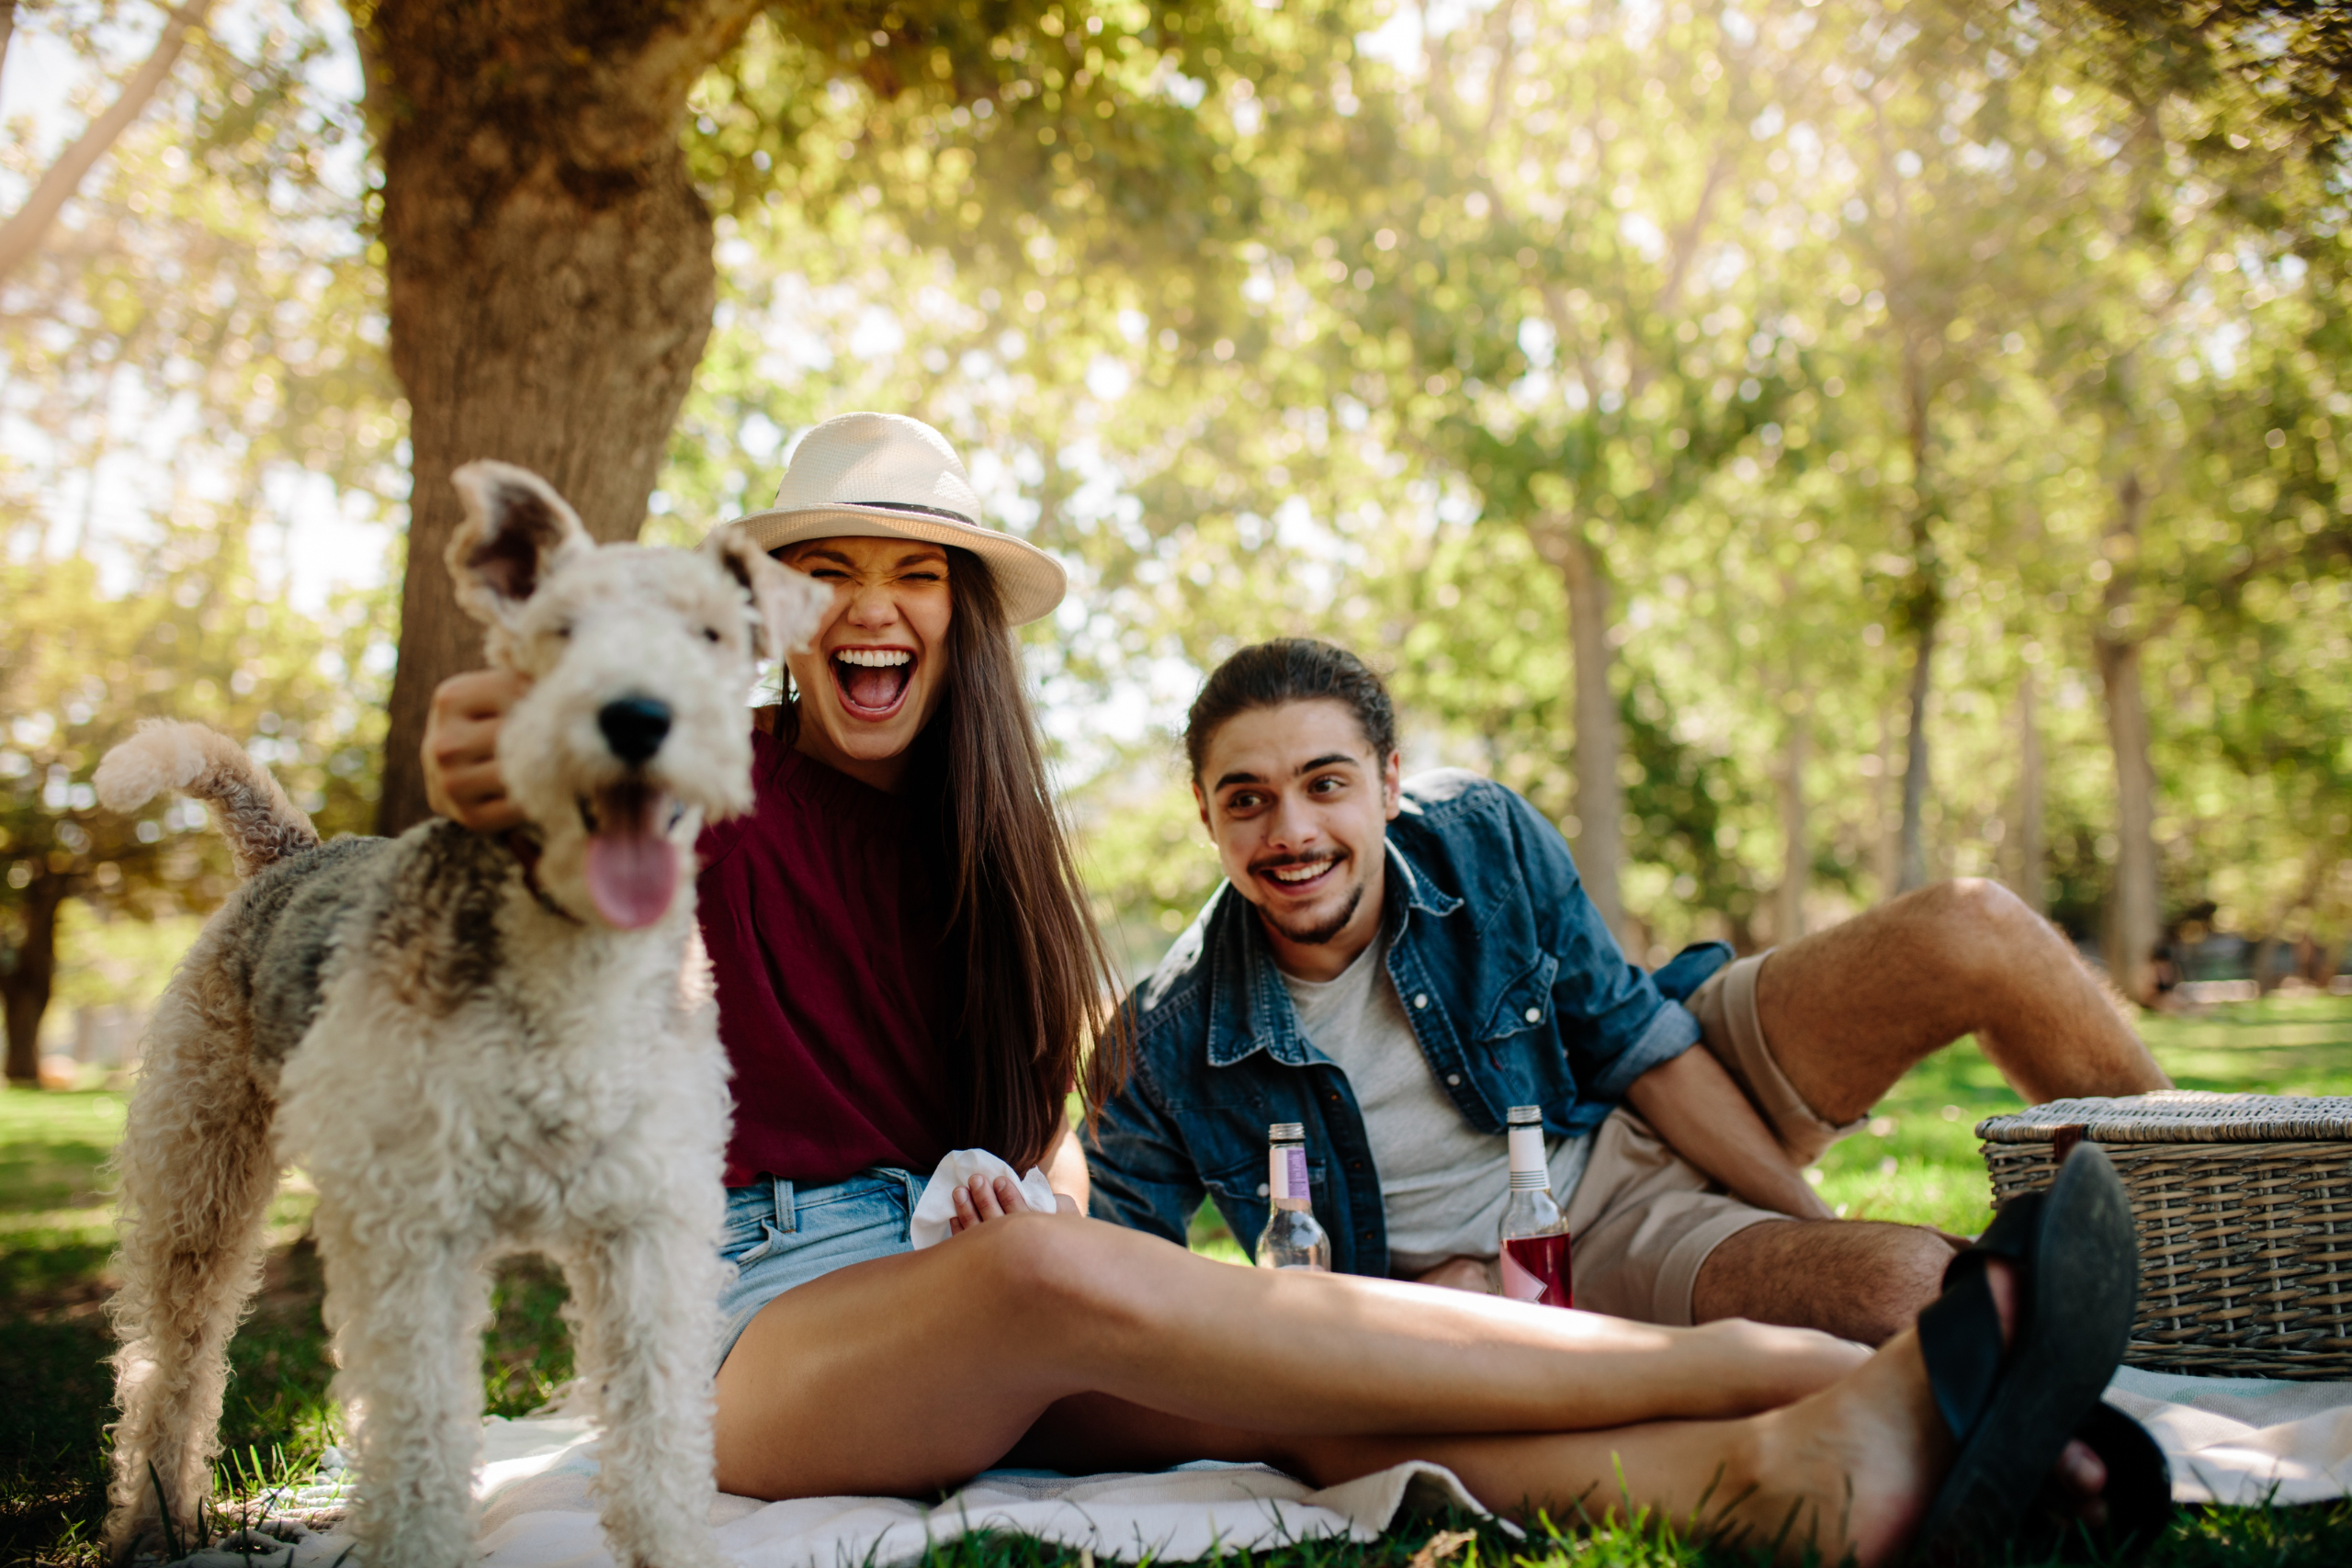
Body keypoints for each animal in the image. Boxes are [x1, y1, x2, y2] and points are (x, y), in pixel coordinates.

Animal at [91, 465, 828, 1568]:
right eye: (559, 629)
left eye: (709, 632)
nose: (637, 718)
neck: (569, 969)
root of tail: (293, 849)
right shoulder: (414, 1235)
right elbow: (423, 1447)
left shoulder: (645, 1228)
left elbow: (657, 1440)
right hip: (199, 1172)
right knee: (167, 1360)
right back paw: (154, 1522)